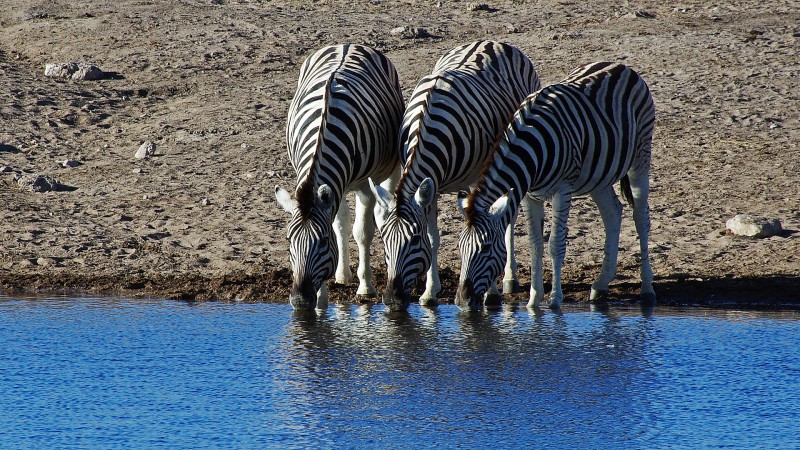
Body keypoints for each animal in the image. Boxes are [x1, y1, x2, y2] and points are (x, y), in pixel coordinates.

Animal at [276, 44, 404, 312]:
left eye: (323, 242)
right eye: (289, 239)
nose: (300, 301)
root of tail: (348, 44)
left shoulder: (366, 184)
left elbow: (363, 232)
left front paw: (365, 288)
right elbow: (338, 224)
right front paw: (321, 300)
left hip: (388, 167)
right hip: (339, 184)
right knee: (341, 220)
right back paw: (342, 275)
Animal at [370, 40, 544, 312]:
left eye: (414, 240)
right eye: (384, 241)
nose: (391, 300)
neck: (425, 128)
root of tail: (491, 42)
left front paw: (490, 294)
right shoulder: (431, 186)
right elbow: (434, 237)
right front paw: (429, 293)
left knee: (508, 220)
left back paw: (509, 279)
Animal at [456, 61, 656, 312]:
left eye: (485, 248)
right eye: (460, 247)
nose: (462, 301)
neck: (530, 152)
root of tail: (619, 65)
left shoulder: (563, 190)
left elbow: (555, 244)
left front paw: (554, 301)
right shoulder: (529, 196)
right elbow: (535, 245)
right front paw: (533, 301)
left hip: (640, 156)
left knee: (641, 218)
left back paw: (647, 288)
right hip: (598, 177)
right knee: (612, 213)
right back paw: (601, 284)